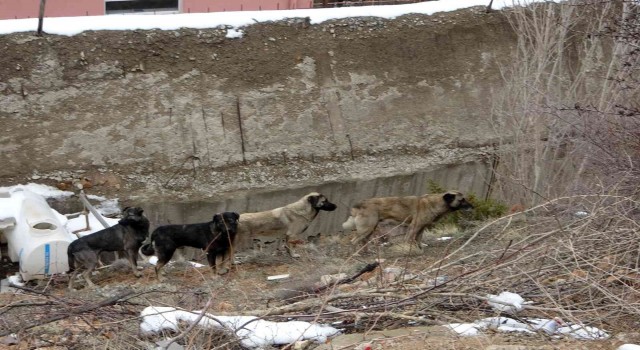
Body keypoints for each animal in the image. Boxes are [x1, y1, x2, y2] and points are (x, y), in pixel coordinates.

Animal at [342, 191, 472, 252]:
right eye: (462, 200)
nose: (473, 206)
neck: (436, 202)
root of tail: (359, 204)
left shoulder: (421, 228)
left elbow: (418, 240)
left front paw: (419, 248)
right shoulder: (414, 227)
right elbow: (409, 239)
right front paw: (410, 250)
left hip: (370, 228)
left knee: (363, 241)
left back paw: (366, 252)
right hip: (367, 228)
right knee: (354, 241)